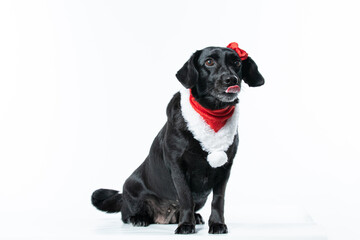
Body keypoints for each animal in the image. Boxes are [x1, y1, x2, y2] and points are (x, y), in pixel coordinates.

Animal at [91, 43, 262, 234]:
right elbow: (186, 197)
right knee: (127, 213)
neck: (212, 114)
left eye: (237, 63)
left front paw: (217, 224)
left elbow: (218, 200)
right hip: (131, 187)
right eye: (209, 62)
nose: (231, 79)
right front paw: (186, 225)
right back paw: (139, 218)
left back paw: (196, 217)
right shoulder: (177, 166)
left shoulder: (225, 168)